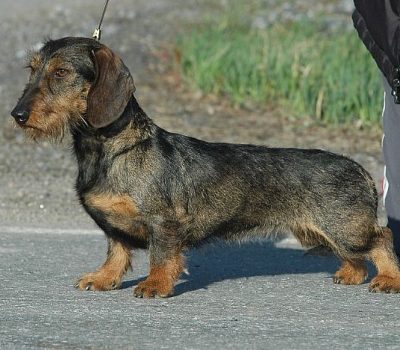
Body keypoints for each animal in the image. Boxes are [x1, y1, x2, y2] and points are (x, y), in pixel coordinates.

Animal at [10, 37, 400, 296]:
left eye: (61, 72)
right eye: (32, 70)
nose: (17, 115)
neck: (110, 150)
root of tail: (361, 171)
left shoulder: (164, 222)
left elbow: (161, 256)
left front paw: (155, 285)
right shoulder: (114, 227)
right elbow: (116, 252)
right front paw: (104, 278)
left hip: (345, 228)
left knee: (382, 239)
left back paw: (388, 279)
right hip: (324, 232)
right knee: (358, 255)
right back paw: (350, 274)